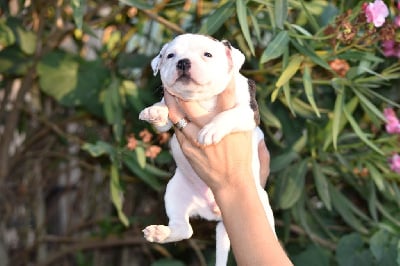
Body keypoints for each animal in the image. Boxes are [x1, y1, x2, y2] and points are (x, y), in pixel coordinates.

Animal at [138, 34, 276, 266]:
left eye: (208, 54)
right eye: (170, 55)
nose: (183, 62)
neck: (202, 99)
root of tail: (215, 212)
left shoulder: (249, 112)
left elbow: (230, 113)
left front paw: (211, 129)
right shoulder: (171, 114)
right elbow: (164, 111)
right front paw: (155, 111)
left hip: (262, 203)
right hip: (175, 191)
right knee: (185, 229)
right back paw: (161, 233)